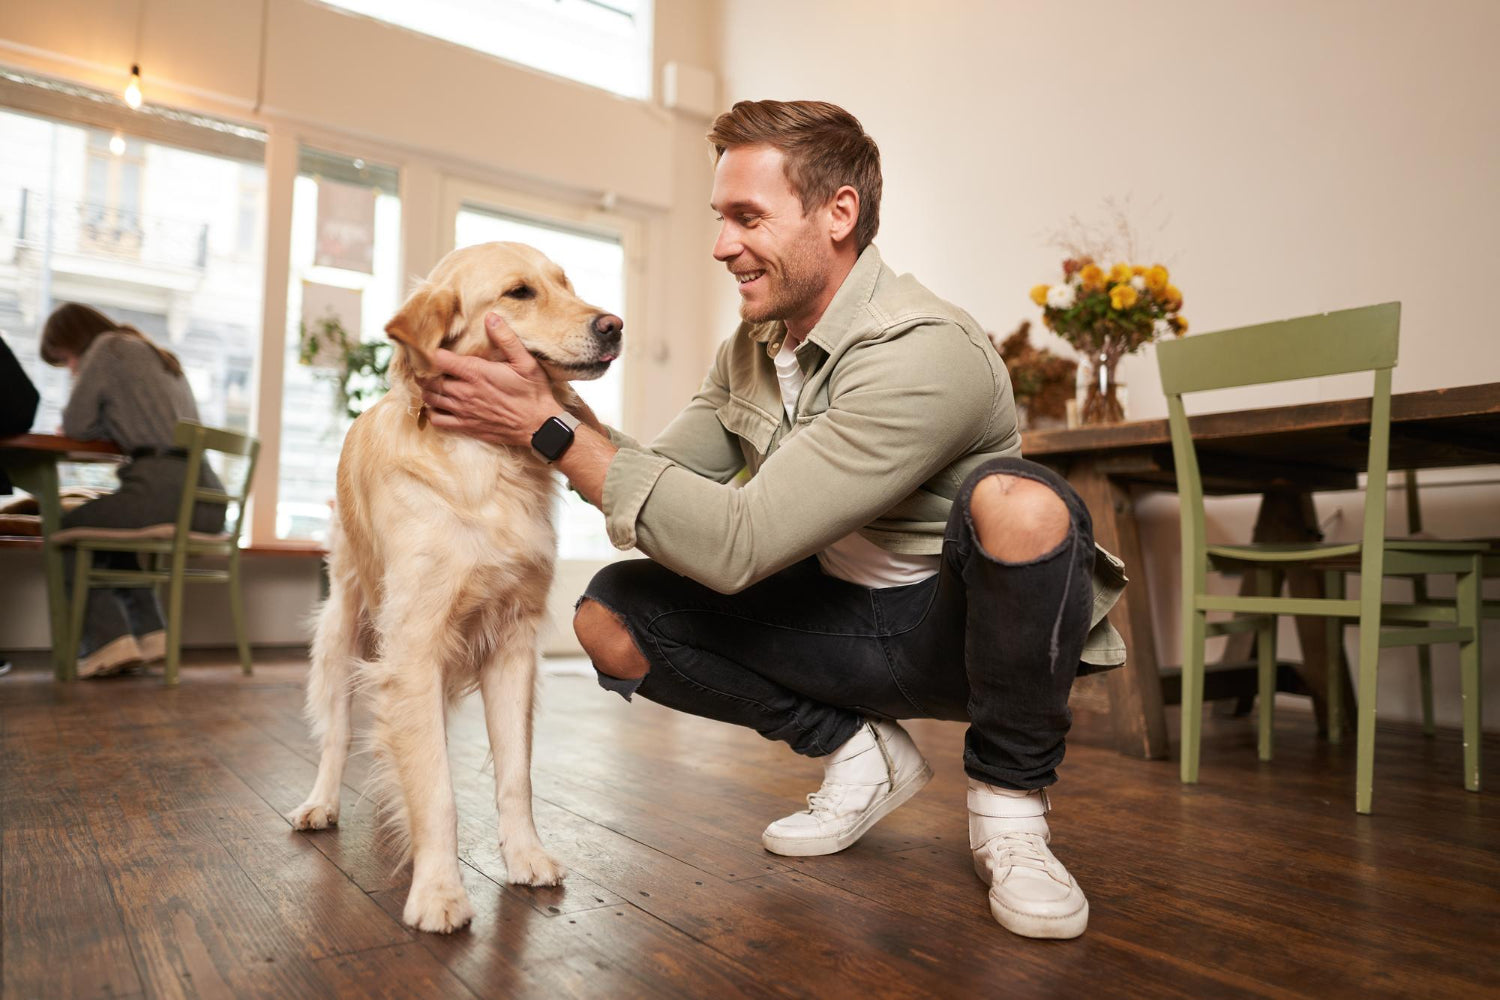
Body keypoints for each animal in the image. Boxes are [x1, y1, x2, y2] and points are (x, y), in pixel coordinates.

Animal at [286, 245, 621, 935]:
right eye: (519, 293)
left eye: (566, 284)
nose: (613, 326)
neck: (486, 462)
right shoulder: (412, 646)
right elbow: (435, 787)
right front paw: (438, 890)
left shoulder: (513, 645)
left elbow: (514, 774)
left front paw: (525, 856)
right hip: (342, 634)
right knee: (337, 736)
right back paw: (320, 804)